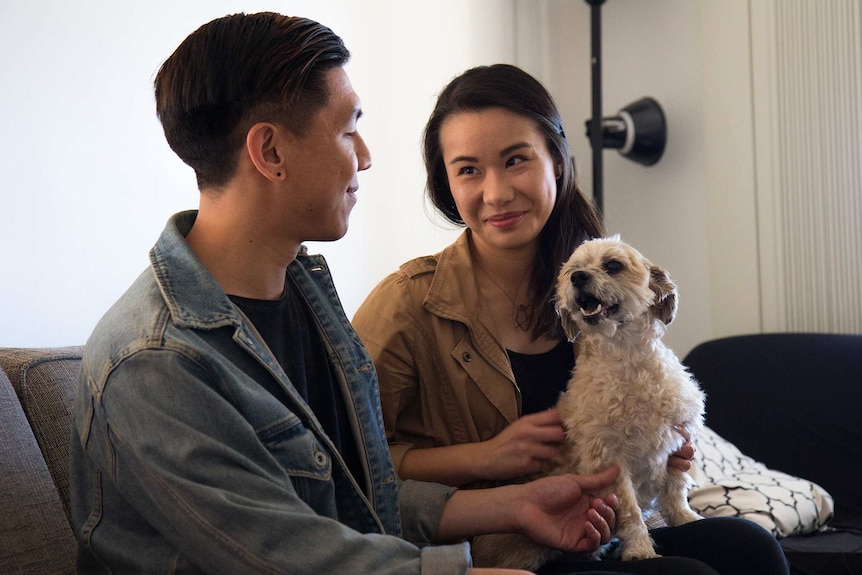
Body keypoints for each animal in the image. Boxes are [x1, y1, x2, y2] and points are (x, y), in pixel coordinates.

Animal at [472, 236, 708, 568]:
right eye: (573, 269)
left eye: (613, 265)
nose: (578, 277)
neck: (628, 362)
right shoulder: (609, 463)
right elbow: (630, 512)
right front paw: (639, 548)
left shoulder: (677, 442)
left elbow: (675, 489)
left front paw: (685, 518)